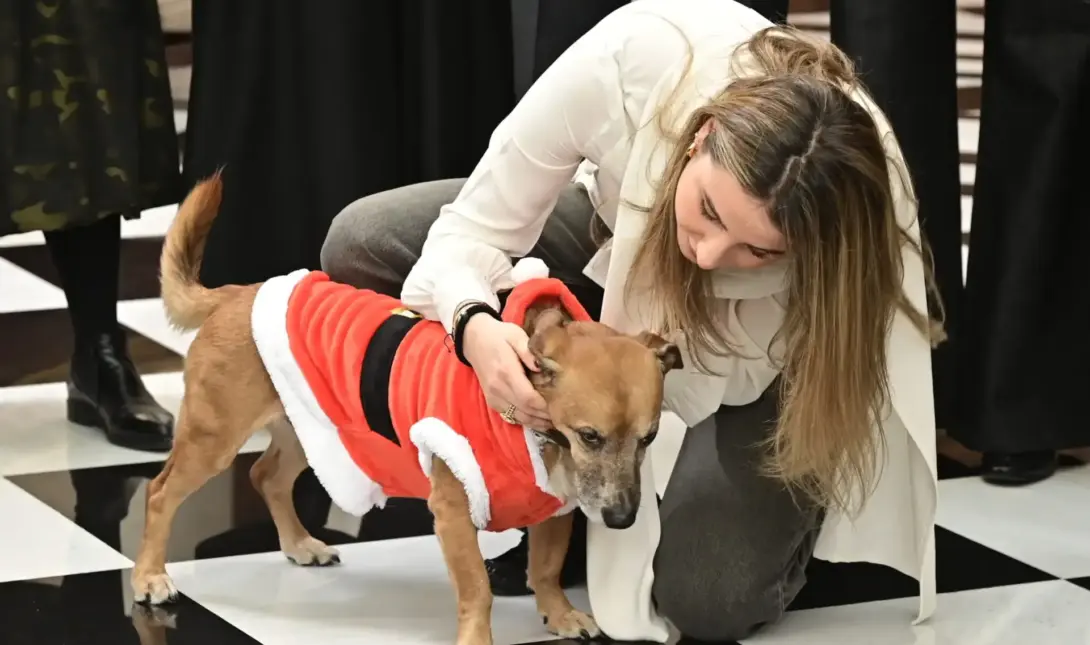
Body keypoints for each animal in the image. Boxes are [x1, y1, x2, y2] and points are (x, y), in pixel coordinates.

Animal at [129, 175, 682, 645]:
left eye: (650, 438)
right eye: (590, 436)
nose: (622, 519)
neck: (543, 440)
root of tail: (234, 296)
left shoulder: (555, 510)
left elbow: (544, 569)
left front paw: (560, 613)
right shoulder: (453, 512)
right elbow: (478, 592)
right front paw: (478, 638)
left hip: (313, 429)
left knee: (266, 476)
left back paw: (299, 543)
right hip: (214, 437)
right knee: (160, 493)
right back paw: (150, 575)